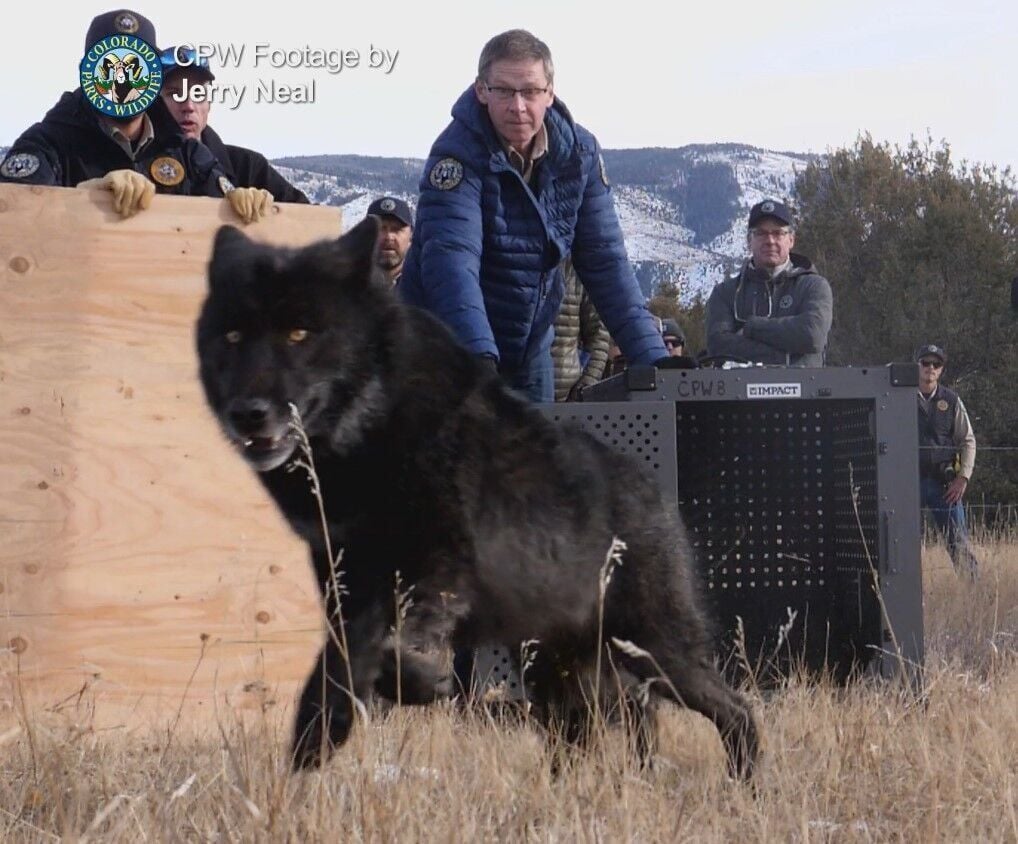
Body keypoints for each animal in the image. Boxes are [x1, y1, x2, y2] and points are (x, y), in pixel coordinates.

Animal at [196, 218, 760, 779]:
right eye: (233, 336)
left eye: (299, 333)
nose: (248, 413)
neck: (374, 433)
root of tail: (657, 496)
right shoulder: (349, 590)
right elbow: (332, 675)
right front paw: (310, 754)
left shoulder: (437, 574)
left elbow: (391, 651)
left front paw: (421, 683)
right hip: (558, 666)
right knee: (600, 725)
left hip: (650, 652)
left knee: (734, 709)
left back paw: (744, 783)